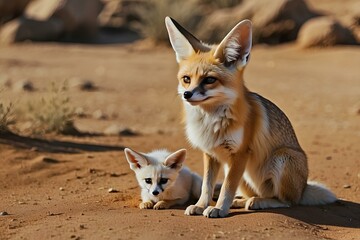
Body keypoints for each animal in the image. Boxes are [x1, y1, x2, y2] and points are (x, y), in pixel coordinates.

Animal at [165, 16, 336, 218]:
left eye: (209, 80)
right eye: (186, 79)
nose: (187, 94)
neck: (210, 122)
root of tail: (303, 189)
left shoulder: (240, 153)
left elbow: (227, 187)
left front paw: (219, 208)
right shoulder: (211, 154)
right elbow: (207, 186)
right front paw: (201, 205)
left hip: (282, 157)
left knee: (287, 201)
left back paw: (259, 202)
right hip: (243, 174)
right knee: (256, 194)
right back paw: (243, 201)